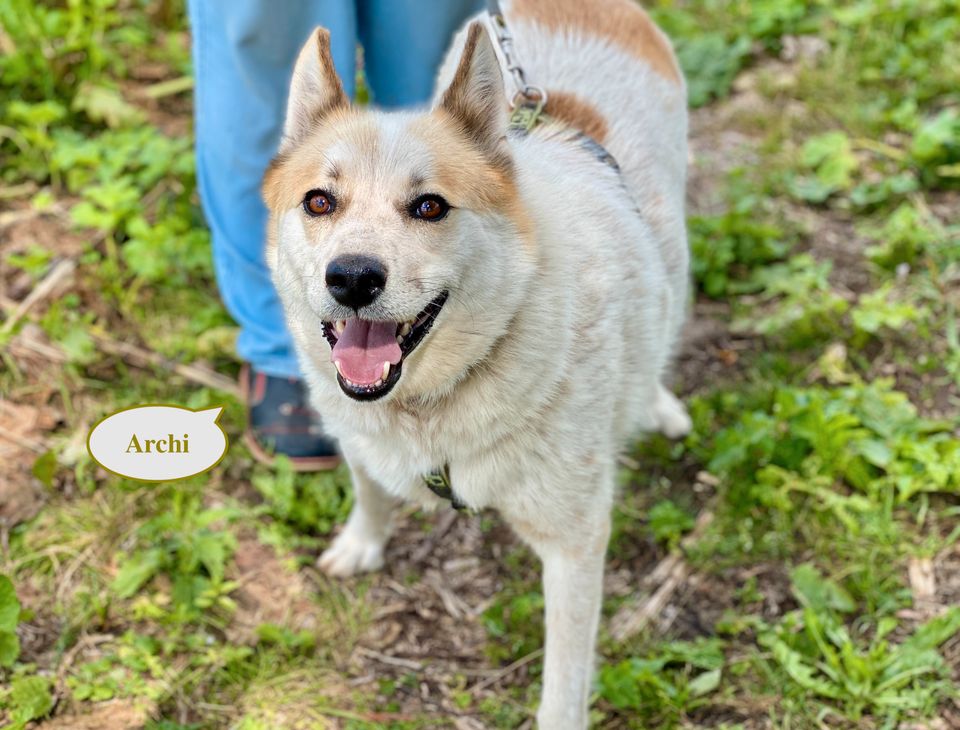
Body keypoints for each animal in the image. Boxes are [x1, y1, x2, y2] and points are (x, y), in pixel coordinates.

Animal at [264, 4, 688, 724]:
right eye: (320, 201)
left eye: (429, 206)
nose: (352, 278)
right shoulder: (358, 435)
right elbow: (369, 489)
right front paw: (362, 544)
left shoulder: (575, 543)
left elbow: (562, 688)